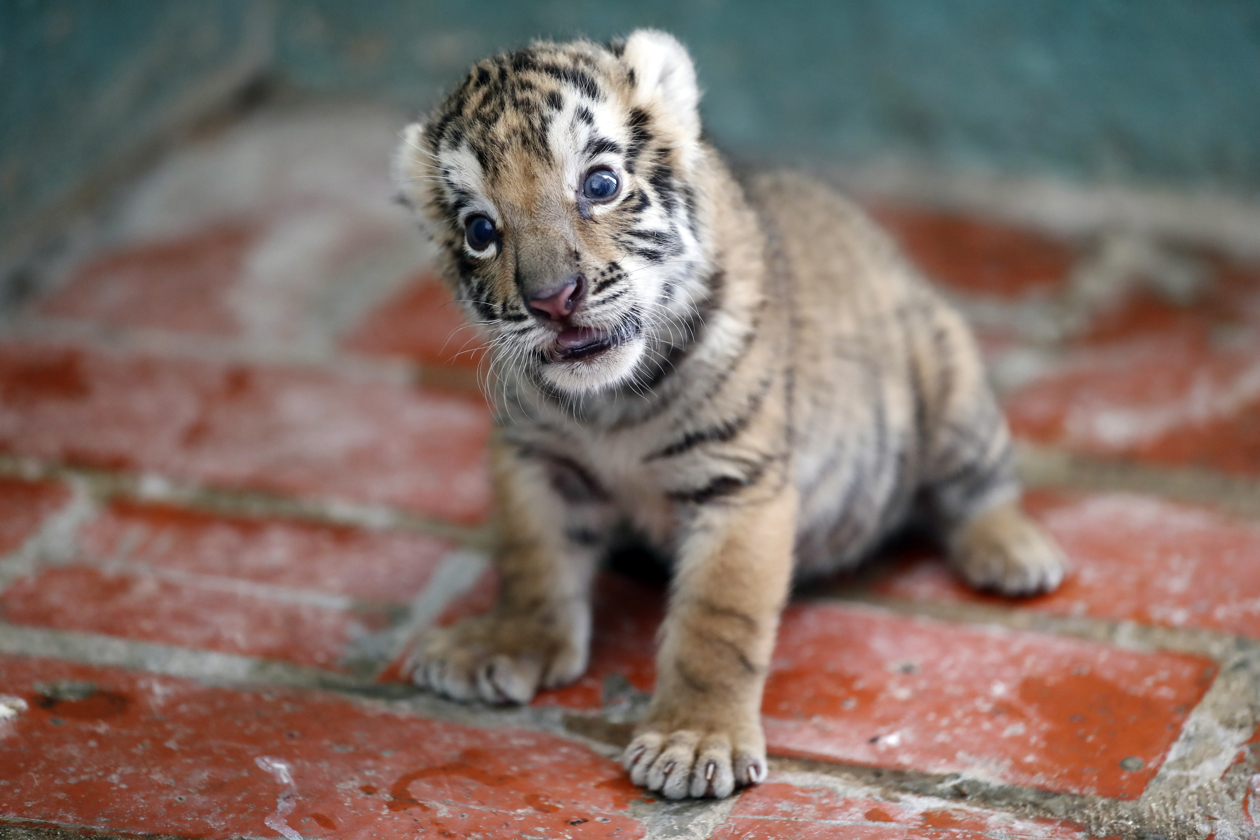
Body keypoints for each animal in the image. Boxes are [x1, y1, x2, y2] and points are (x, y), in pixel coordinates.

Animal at [393, 29, 1068, 800]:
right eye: (481, 230)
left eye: (599, 185)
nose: (552, 298)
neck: (612, 404)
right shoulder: (536, 459)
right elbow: (533, 557)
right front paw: (510, 640)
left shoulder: (739, 482)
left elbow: (717, 620)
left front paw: (691, 740)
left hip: (950, 383)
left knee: (977, 489)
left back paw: (1016, 554)